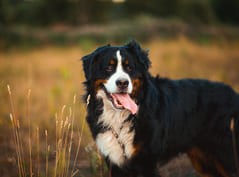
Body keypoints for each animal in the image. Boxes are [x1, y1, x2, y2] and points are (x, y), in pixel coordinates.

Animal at [82, 40, 239, 177]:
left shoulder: (146, 161)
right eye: (109, 68)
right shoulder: (115, 162)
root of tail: (234, 94)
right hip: (204, 160)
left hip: (226, 153)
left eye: (129, 68)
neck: (120, 117)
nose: (122, 83)